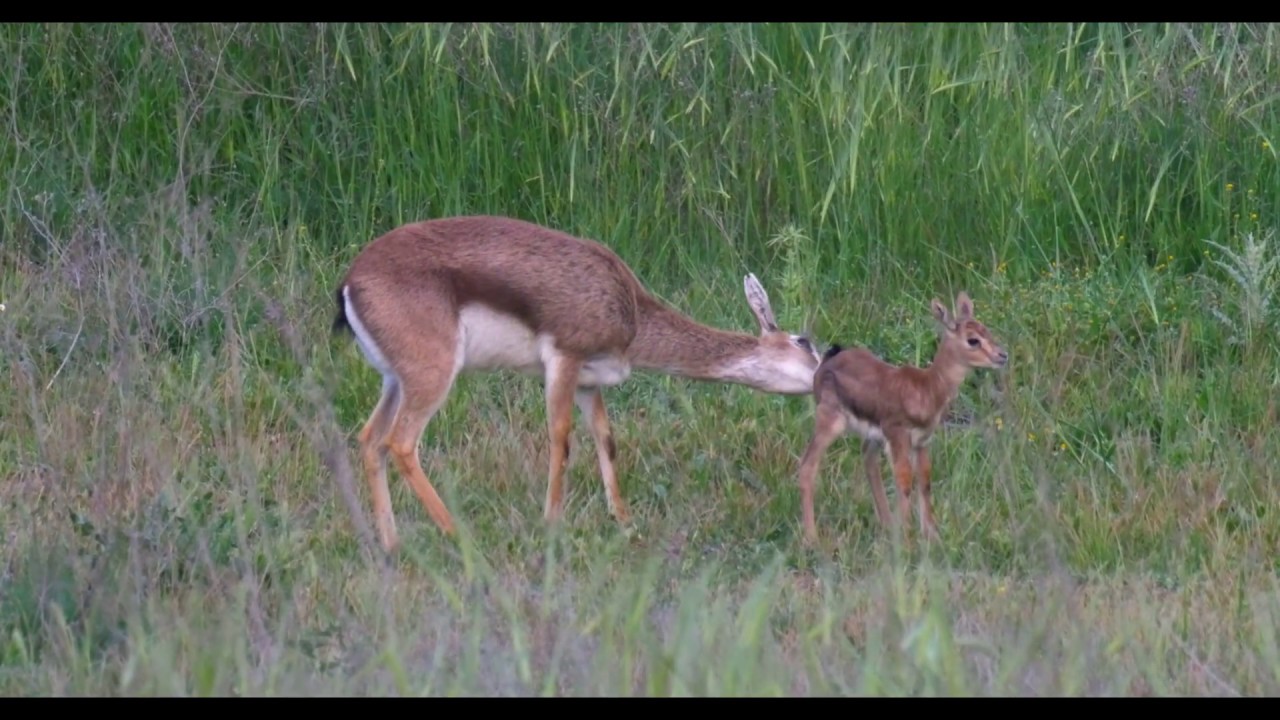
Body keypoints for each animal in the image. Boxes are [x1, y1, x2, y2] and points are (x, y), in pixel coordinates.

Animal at [331, 215, 823, 554]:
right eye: (806, 341)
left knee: (370, 439)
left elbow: (605, 439)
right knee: (400, 443)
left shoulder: (589, 380)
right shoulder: (563, 362)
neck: (631, 311)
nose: (828, 381)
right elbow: (561, 438)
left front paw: (624, 522)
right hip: (433, 377)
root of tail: (351, 281)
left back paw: (392, 545)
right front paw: (551, 525)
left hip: (395, 381)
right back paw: (458, 535)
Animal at [794, 291, 1007, 546]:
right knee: (808, 466)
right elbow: (905, 482)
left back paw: (887, 525)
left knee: (868, 462)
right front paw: (908, 540)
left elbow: (924, 481)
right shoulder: (898, 437)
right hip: (830, 422)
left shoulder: (922, 441)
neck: (927, 389)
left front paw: (931, 536)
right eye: (973, 340)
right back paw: (811, 539)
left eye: (987, 330)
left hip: (873, 437)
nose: (1002, 355)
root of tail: (826, 362)